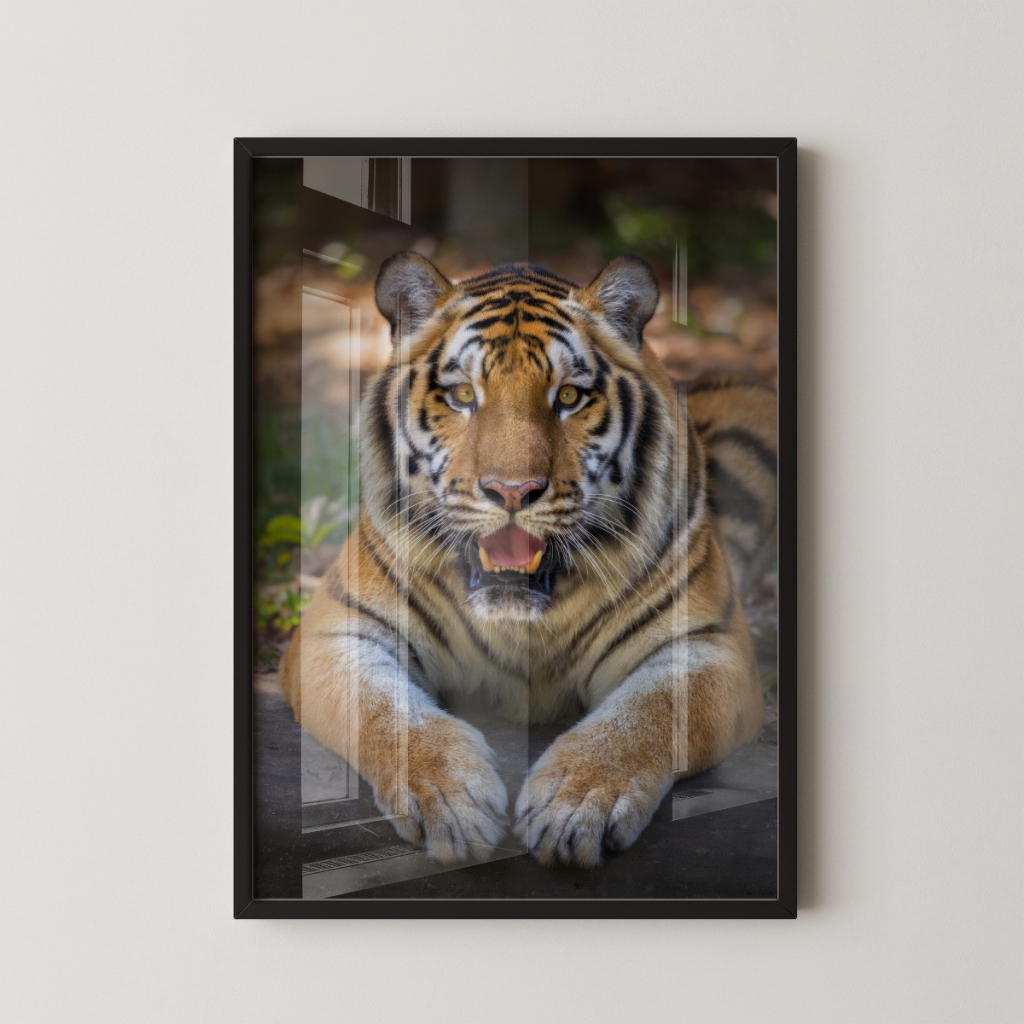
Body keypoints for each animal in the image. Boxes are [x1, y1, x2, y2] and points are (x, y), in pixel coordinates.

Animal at [280, 252, 777, 869]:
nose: (512, 492)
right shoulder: (337, 631)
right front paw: (451, 797)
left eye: (568, 398)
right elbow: (383, 711)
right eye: (462, 395)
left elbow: (647, 715)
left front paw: (576, 802)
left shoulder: (710, 646)